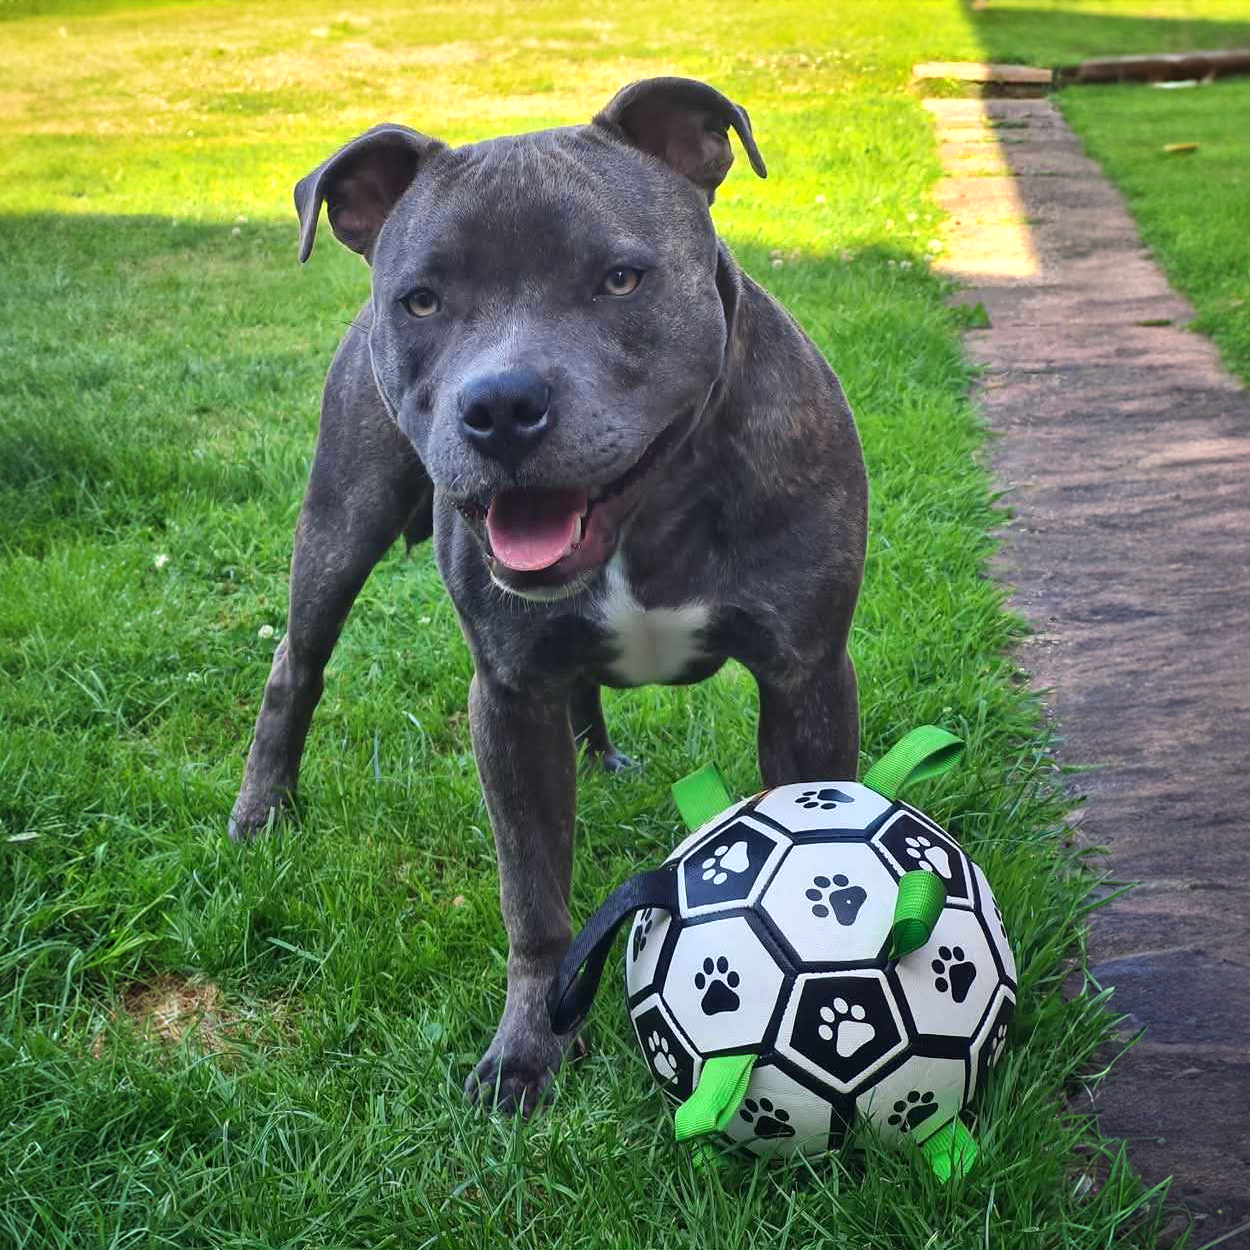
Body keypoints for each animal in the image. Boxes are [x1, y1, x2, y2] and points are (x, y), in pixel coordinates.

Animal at [230, 75, 865, 1115]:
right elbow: (532, 897)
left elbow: (822, 827)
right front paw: (528, 1048)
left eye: (620, 280)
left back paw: (599, 756)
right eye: (423, 300)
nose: (499, 405)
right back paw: (261, 811)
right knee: (297, 665)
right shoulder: (509, 698)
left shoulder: (804, 679)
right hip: (337, 526)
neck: (649, 513)